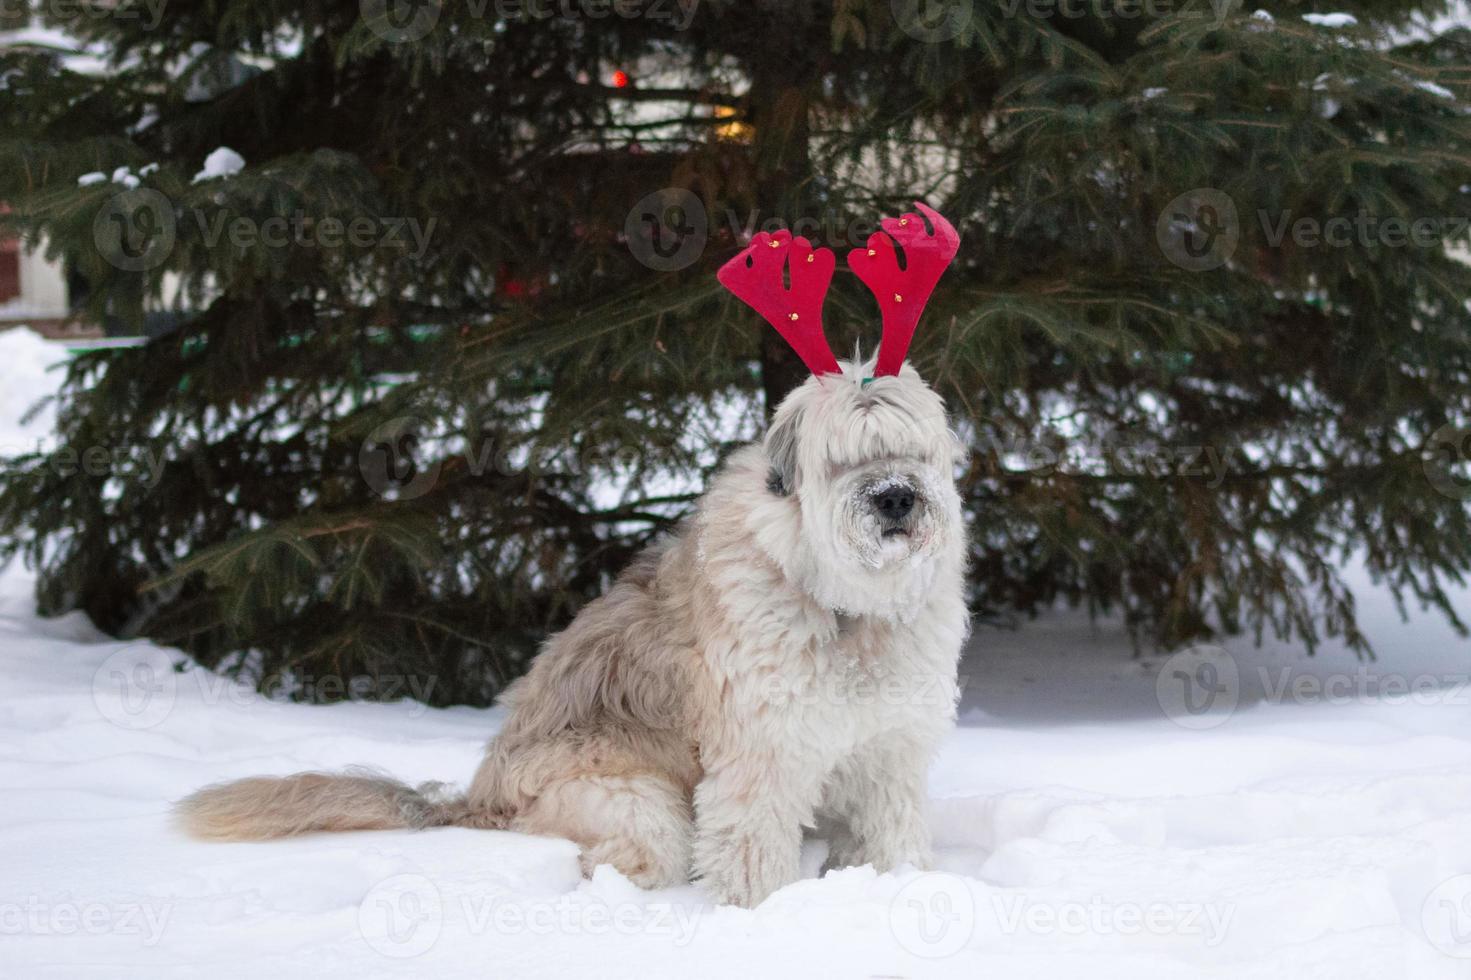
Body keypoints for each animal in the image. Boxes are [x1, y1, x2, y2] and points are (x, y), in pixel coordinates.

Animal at [177, 200, 970, 906]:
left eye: (912, 450)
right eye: (842, 459)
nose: (894, 499)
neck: (846, 606)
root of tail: (478, 798)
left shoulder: (889, 755)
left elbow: (891, 837)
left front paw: (897, 889)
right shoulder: (761, 760)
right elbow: (750, 860)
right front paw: (763, 921)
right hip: (633, 801)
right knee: (620, 856)